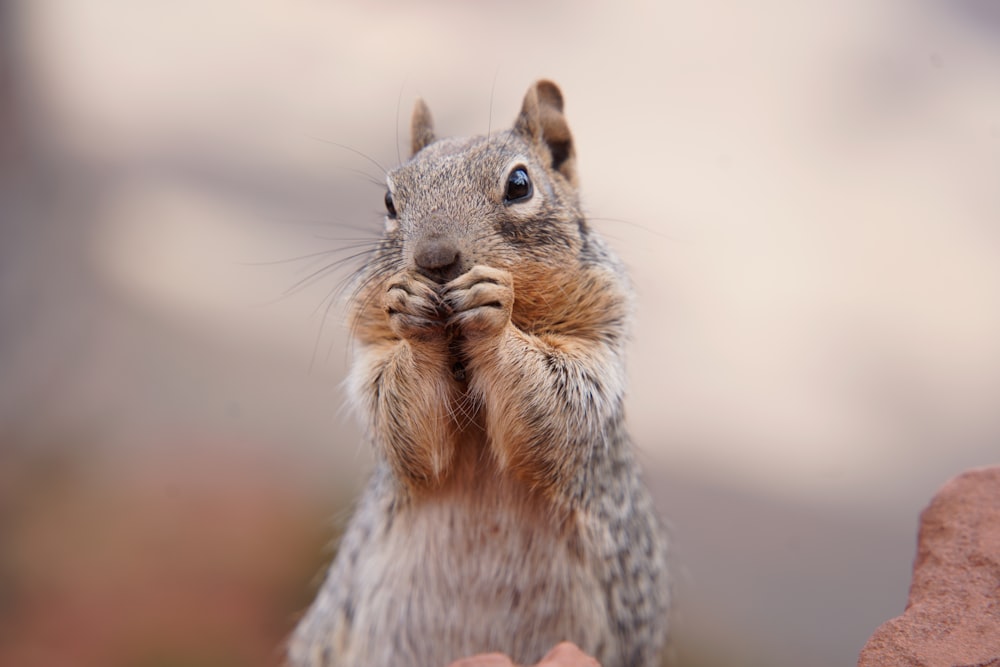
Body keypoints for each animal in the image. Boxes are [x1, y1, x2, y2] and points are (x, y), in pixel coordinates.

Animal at [286, 79, 668, 667]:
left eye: (520, 184)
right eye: (389, 201)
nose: (435, 258)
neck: (458, 348)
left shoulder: (594, 351)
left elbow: (556, 411)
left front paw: (494, 312)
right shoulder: (376, 363)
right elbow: (405, 430)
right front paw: (412, 312)